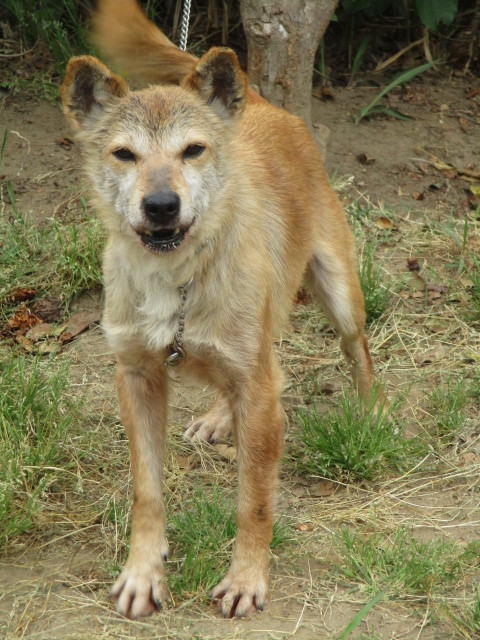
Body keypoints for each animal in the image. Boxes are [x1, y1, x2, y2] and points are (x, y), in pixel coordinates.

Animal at [62, 0, 378, 620]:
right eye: (124, 154)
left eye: (192, 150)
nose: (162, 206)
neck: (177, 279)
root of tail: (258, 102)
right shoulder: (137, 378)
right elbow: (147, 492)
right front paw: (143, 573)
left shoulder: (257, 392)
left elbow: (253, 501)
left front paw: (246, 579)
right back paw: (218, 416)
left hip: (338, 292)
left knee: (357, 351)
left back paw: (374, 410)